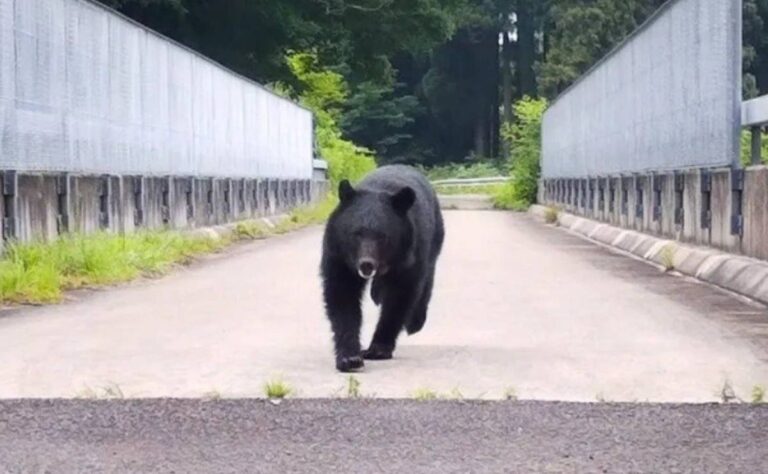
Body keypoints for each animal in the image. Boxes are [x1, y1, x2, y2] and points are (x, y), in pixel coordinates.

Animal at [321, 165, 445, 372]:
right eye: (356, 233)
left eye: (382, 236)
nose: (366, 264)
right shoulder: (338, 254)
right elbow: (342, 296)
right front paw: (349, 357)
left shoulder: (409, 254)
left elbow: (400, 297)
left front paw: (378, 349)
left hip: (434, 238)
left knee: (427, 277)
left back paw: (415, 322)